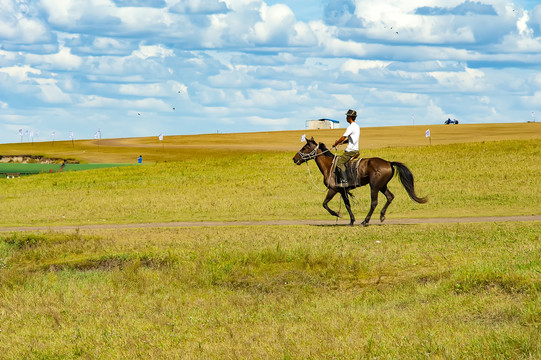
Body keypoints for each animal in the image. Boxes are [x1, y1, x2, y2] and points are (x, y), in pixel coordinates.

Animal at [292, 136, 426, 226]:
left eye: (304, 147)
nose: (294, 159)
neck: (329, 166)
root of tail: (388, 162)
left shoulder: (333, 189)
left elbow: (325, 204)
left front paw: (338, 214)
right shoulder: (342, 191)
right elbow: (347, 205)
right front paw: (351, 221)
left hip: (374, 186)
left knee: (374, 202)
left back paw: (365, 221)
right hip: (382, 186)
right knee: (390, 197)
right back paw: (381, 216)